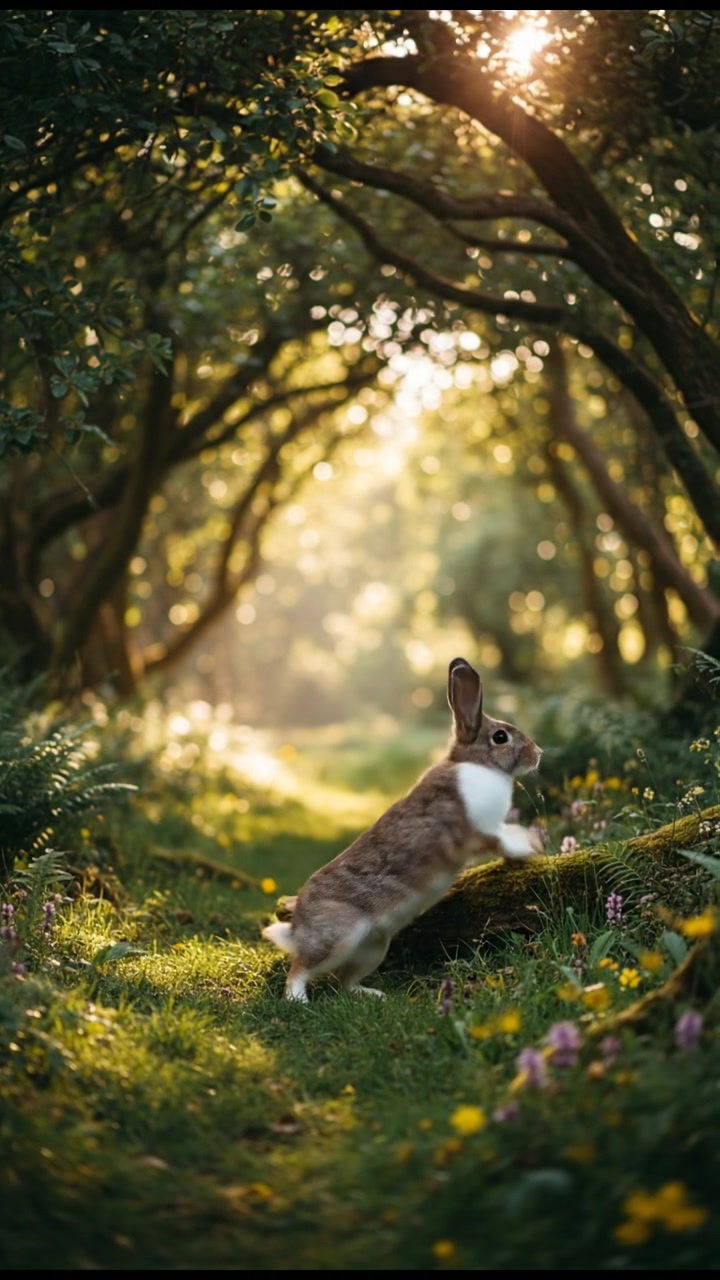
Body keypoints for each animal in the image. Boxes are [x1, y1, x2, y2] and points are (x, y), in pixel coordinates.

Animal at [262, 657, 543, 1001]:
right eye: (501, 737)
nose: (538, 754)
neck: (478, 765)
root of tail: (297, 928)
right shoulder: (476, 830)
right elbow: (500, 840)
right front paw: (529, 849)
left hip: (374, 948)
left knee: (346, 981)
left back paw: (373, 995)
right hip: (337, 937)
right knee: (300, 967)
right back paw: (297, 999)